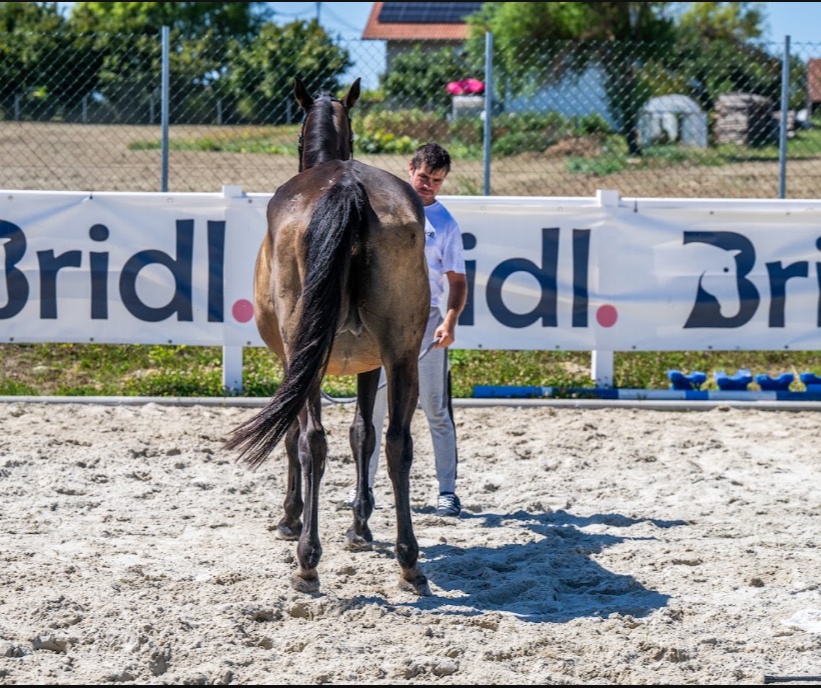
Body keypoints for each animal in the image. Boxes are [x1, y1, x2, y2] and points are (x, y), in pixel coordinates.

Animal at [225, 77, 432, 596]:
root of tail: (348, 188)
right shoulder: (372, 363)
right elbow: (364, 434)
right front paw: (360, 526)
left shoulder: (290, 361)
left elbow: (292, 436)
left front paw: (291, 518)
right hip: (402, 355)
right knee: (398, 443)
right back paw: (409, 562)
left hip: (309, 355)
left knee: (312, 440)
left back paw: (307, 562)